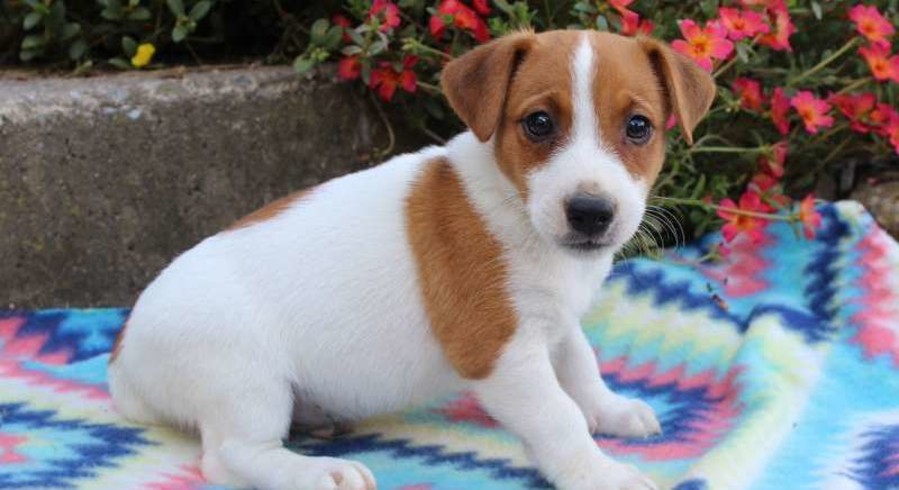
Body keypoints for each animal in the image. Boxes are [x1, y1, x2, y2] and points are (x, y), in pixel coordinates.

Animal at [109, 29, 716, 490]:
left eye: (638, 127)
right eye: (539, 122)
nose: (591, 211)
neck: (515, 207)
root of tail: (122, 360)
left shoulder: (557, 322)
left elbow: (581, 368)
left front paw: (610, 410)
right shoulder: (499, 352)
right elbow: (558, 417)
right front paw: (600, 474)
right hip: (245, 380)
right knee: (230, 455)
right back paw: (320, 473)